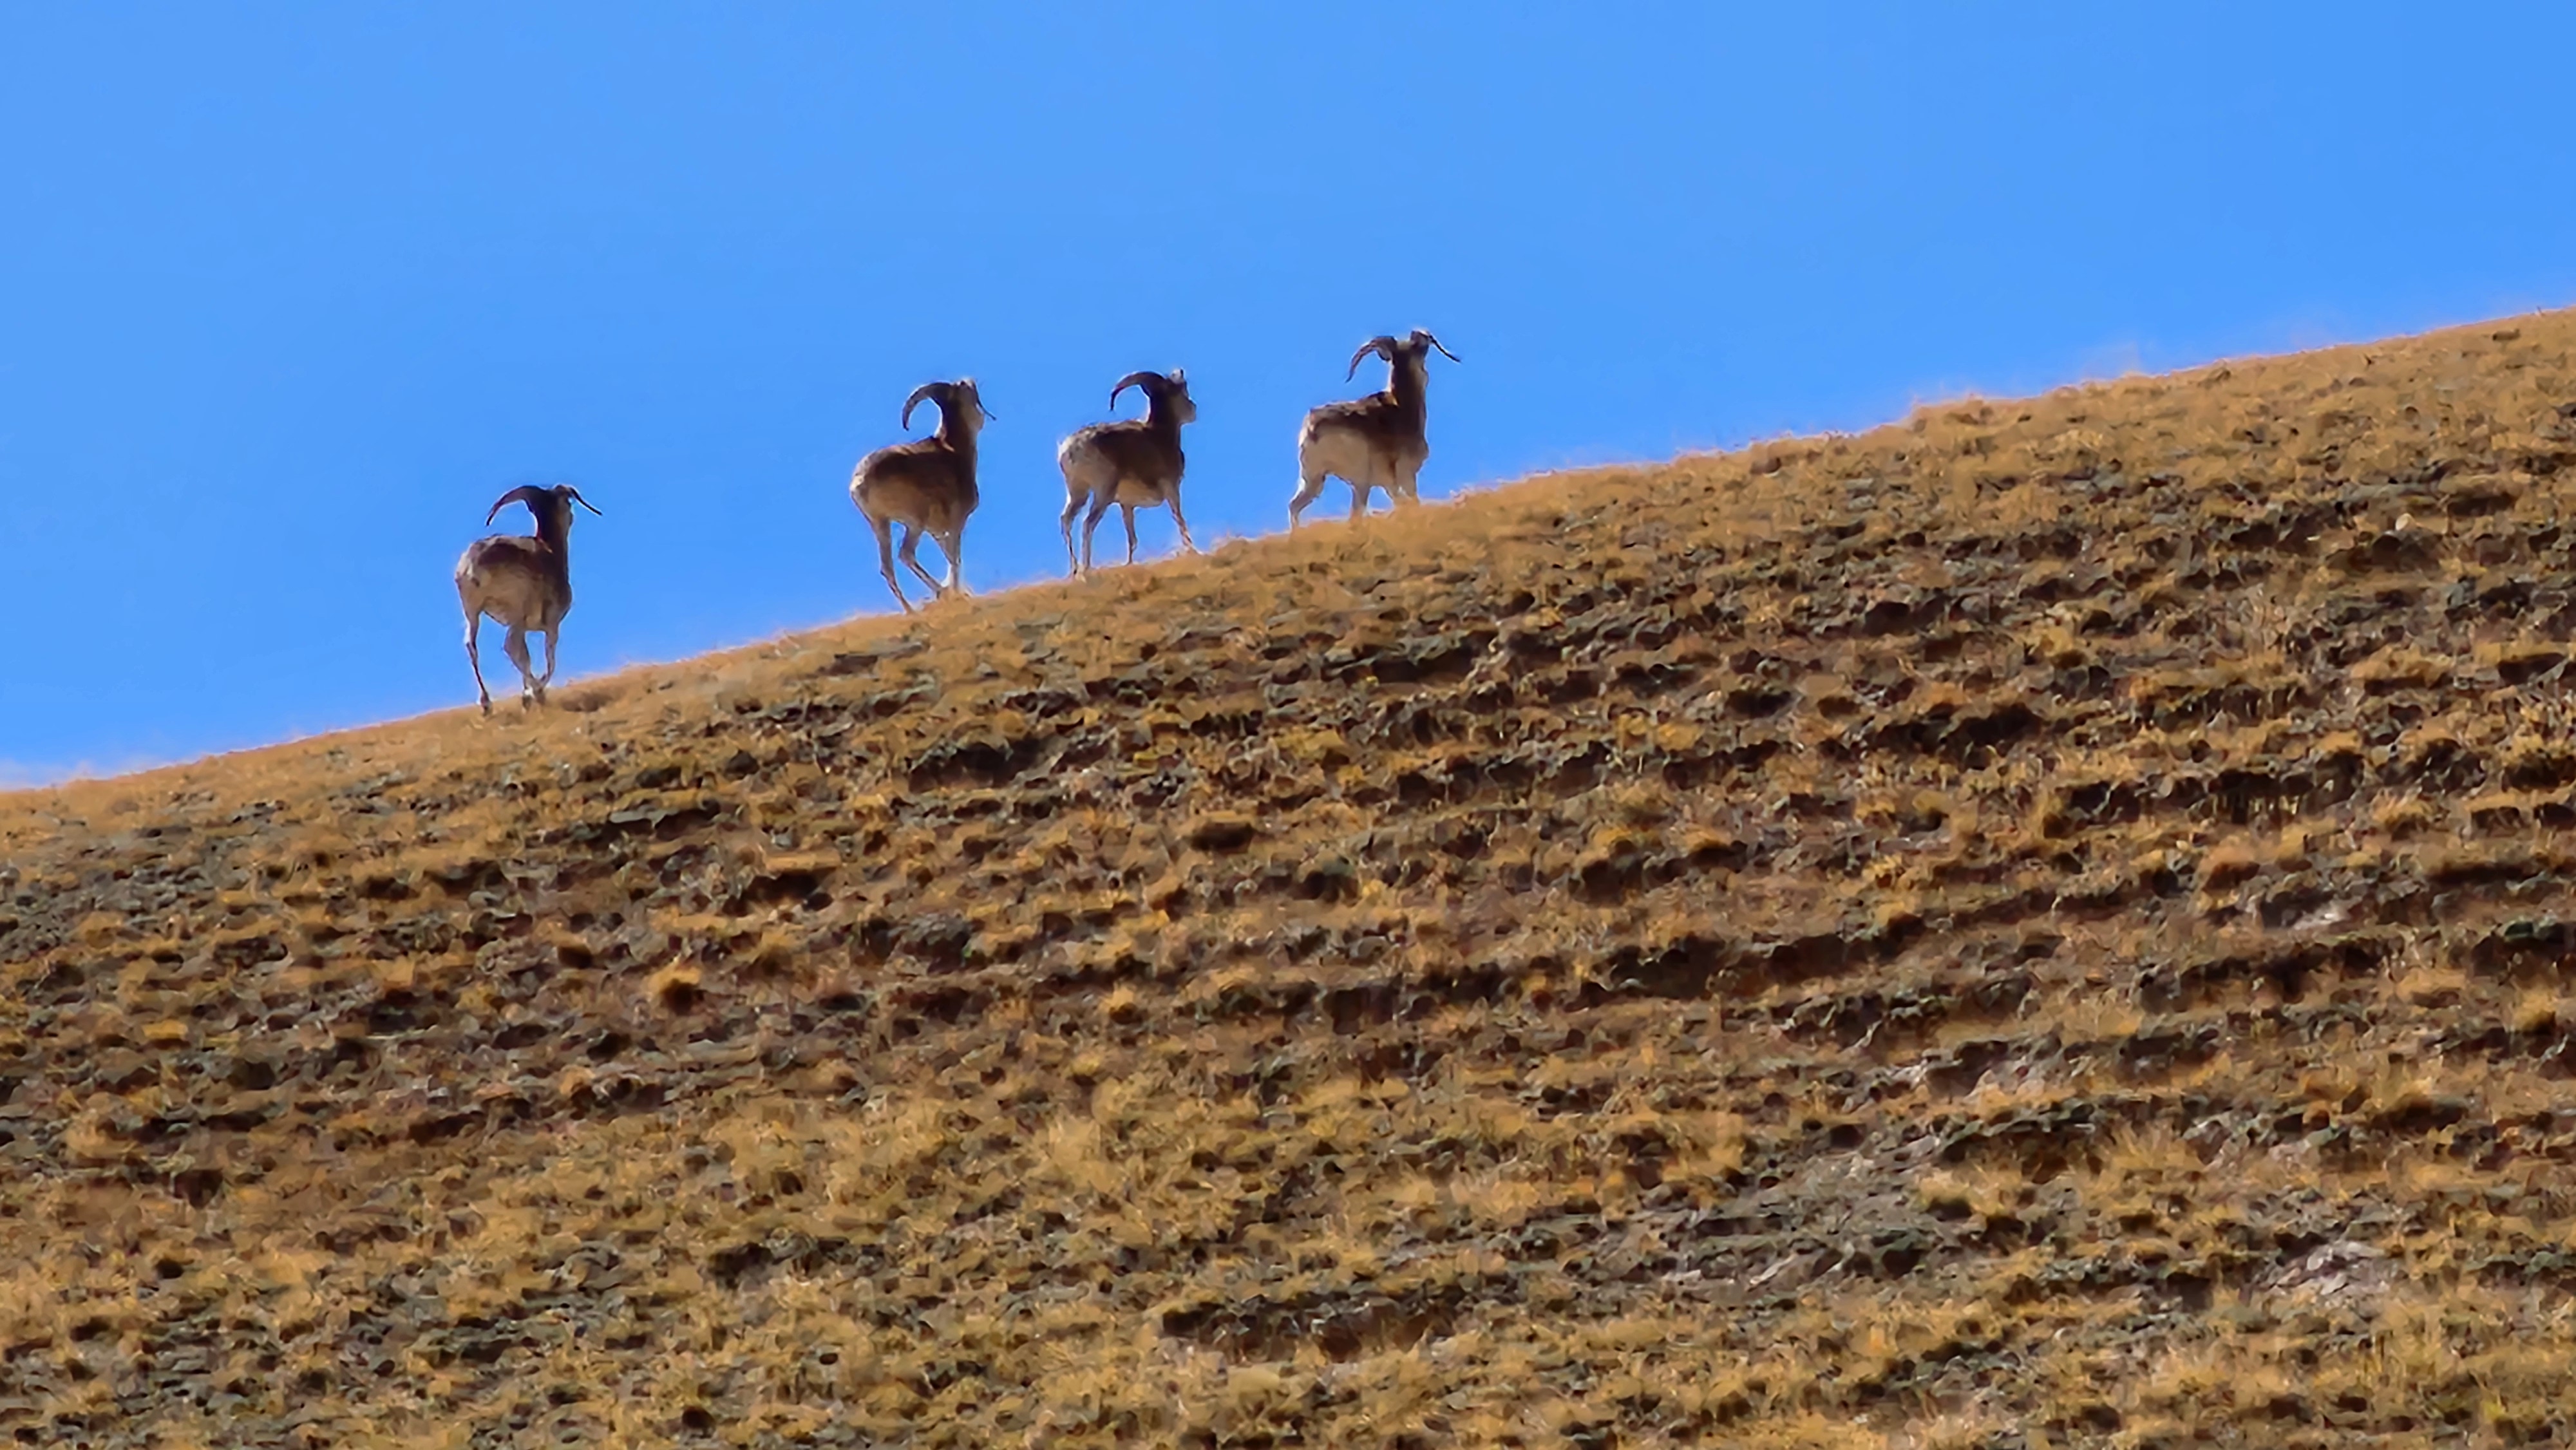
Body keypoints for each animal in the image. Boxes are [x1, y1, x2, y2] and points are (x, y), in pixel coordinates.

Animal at [454, 483, 603, 716]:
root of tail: (473, 564)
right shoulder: (552, 624)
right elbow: (549, 661)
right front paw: (534, 694)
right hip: (517, 612)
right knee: (511, 644)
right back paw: (536, 693)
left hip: (472, 612)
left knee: (472, 646)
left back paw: (487, 704)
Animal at [848, 378, 992, 613]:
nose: (981, 420)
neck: (953, 449)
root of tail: (860, 481)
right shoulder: (955, 524)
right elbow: (955, 559)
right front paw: (955, 592)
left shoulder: (937, 532)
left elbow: (950, 557)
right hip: (915, 520)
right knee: (906, 554)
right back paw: (940, 593)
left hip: (880, 525)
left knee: (887, 568)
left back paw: (910, 611)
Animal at [1056, 368, 1199, 575]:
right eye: (1180, 391)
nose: (1193, 409)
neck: (1161, 434)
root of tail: (1072, 447)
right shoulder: (1171, 489)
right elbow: (1180, 521)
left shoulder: (1127, 505)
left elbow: (1132, 540)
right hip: (1103, 492)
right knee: (1087, 524)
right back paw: (1087, 570)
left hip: (1078, 492)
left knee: (1066, 520)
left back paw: (1074, 571)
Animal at [1287, 328, 1459, 528]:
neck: (1402, 407)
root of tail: (1314, 427)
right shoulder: (1405, 475)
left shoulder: (1389, 484)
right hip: (1360, 480)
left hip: (1315, 479)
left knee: (1296, 506)